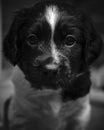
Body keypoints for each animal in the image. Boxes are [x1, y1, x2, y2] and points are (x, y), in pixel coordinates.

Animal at [2, 0, 103, 129]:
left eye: (70, 40)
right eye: (32, 39)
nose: (50, 70)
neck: (51, 91)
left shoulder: (79, 116)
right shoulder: (19, 116)